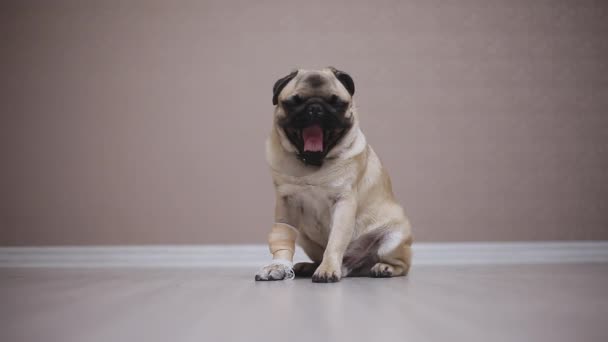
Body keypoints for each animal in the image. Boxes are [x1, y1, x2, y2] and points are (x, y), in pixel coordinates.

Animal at [254, 67, 410, 284]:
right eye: (294, 102)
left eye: (336, 102)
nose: (315, 107)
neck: (313, 164)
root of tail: (353, 266)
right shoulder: (286, 204)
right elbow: (283, 238)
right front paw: (278, 267)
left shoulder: (343, 204)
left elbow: (335, 241)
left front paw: (327, 269)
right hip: (305, 238)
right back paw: (309, 266)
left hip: (393, 239)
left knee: (402, 265)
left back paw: (383, 267)